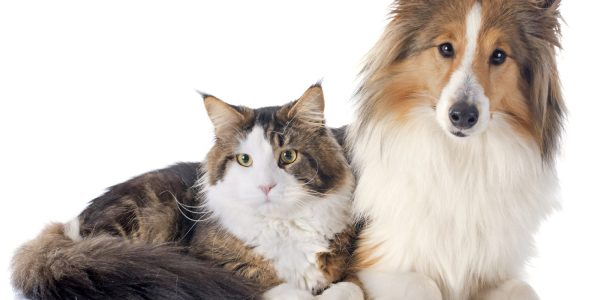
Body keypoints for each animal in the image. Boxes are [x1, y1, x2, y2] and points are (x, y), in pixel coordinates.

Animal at [11, 84, 364, 300]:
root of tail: (67, 229)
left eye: (287, 156)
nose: (265, 186)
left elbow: (350, 288)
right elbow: (280, 288)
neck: (282, 227)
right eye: (244, 160)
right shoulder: (211, 264)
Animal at [350, 0, 564, 300]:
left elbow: (523, 288)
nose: (462, 115)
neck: (461, 159)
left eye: (499, 55)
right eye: (446, 48)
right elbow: (425, 285)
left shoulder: (490, 271)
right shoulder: (375, 264)